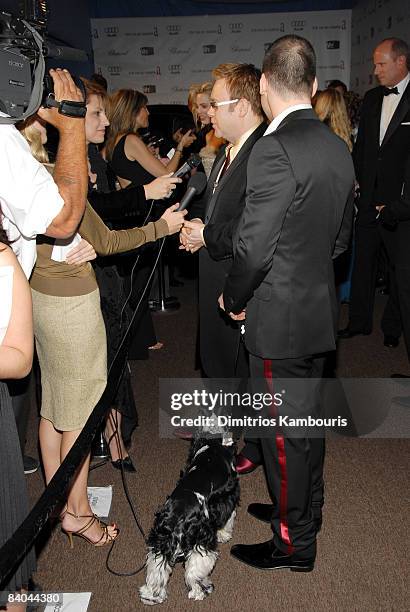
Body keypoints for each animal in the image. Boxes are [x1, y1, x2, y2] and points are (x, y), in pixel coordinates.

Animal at [139, 438, 239, 604]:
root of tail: (178, 519)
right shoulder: (228, 498)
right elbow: (228, 519)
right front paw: (224, 534)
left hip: (160, 542)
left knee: (157, 569)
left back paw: (151, 595)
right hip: (201, 543)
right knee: (193, 573)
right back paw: (201, 591)